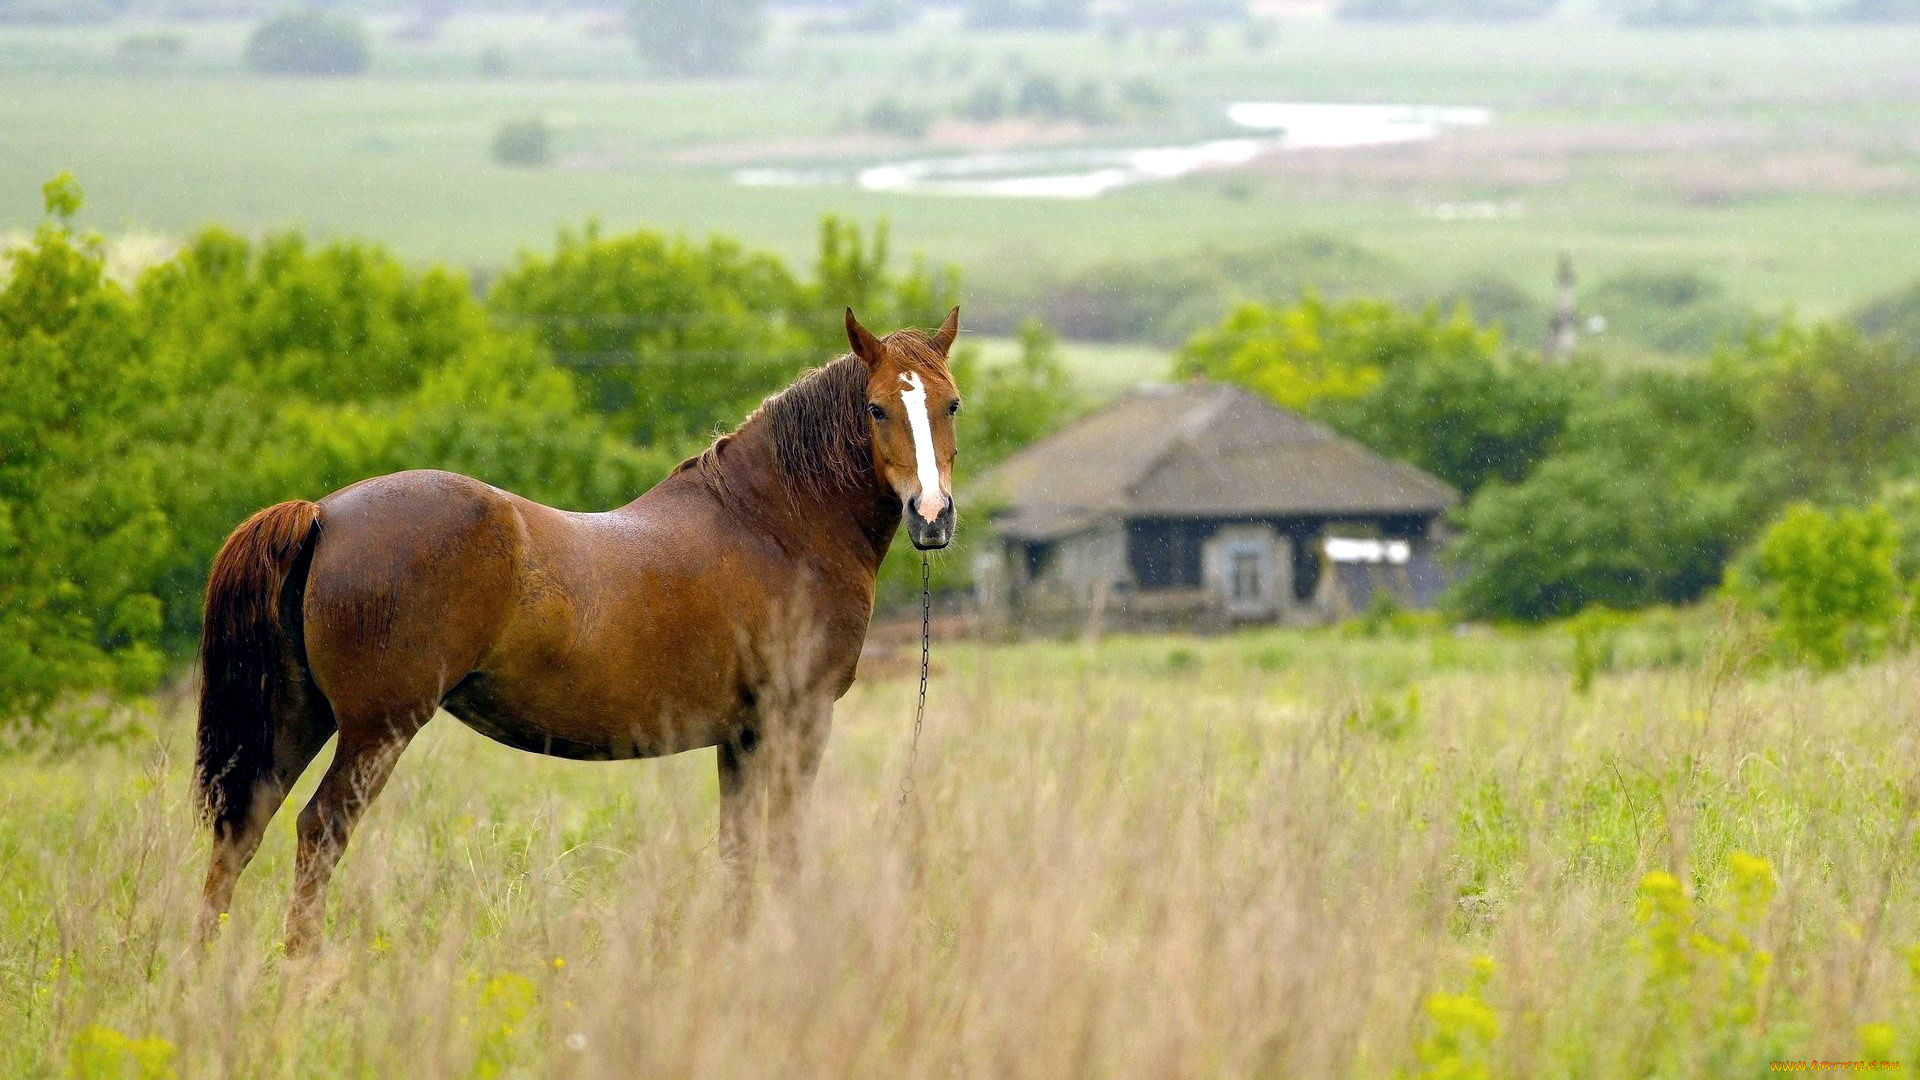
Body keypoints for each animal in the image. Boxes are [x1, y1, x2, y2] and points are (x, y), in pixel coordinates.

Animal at [194, 305, 960, 949]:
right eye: (877, 408)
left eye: (950, 403)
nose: (932, 515)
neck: (775, 523)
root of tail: (324, 513)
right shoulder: (796, 719)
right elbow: (783, 846)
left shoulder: (741, 736)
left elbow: (739, 851)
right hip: (375, 729)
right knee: (319, 830)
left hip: (300, 714)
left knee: (242, 829)